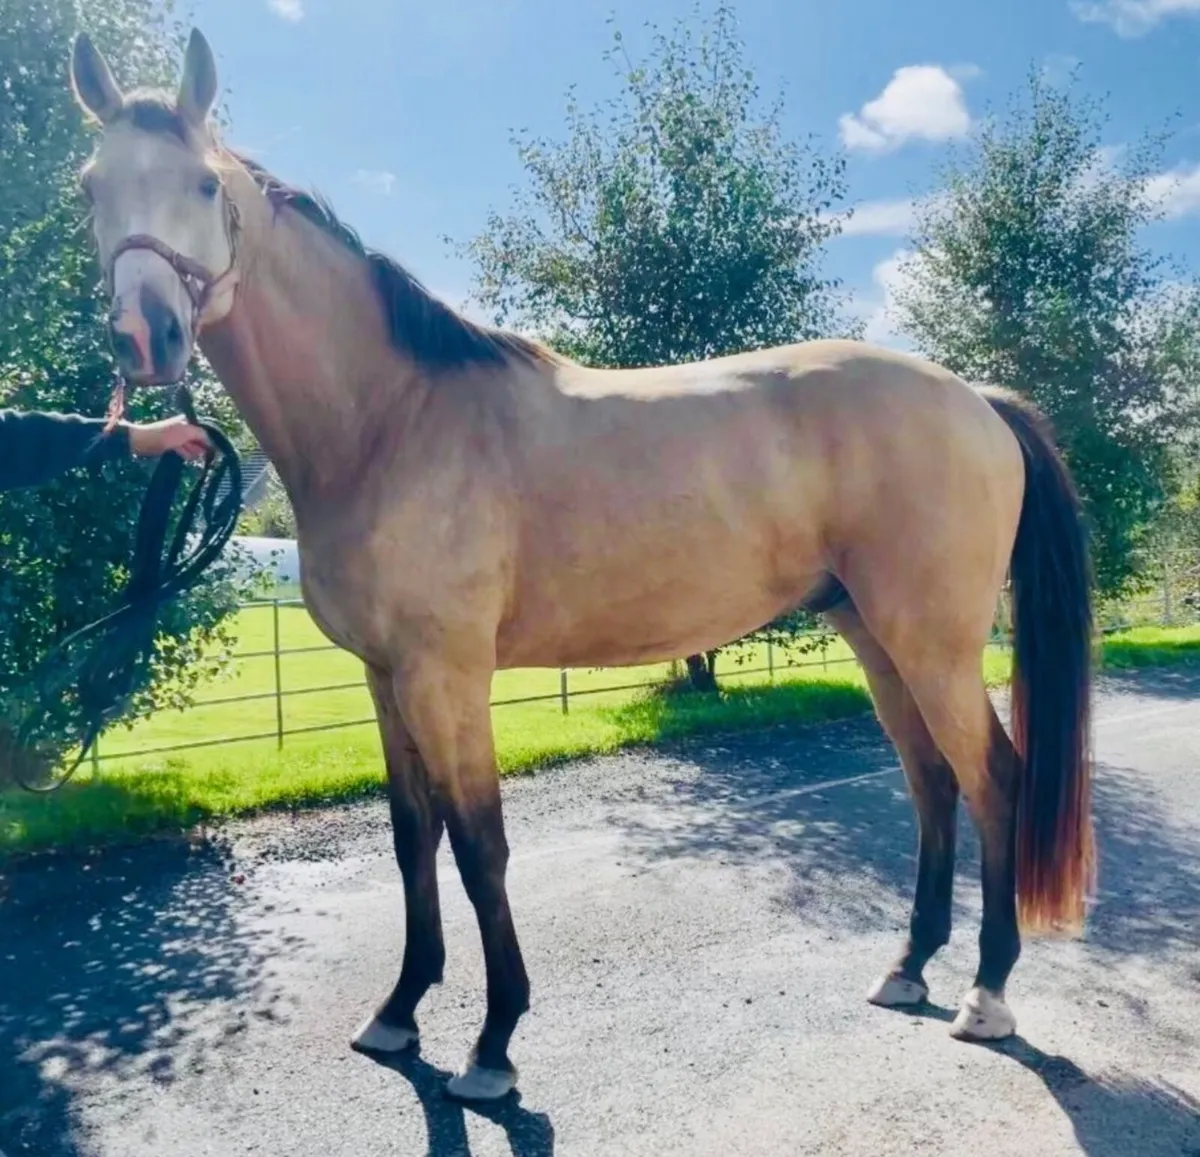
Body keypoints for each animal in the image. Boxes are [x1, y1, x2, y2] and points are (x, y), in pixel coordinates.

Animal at [67, 29, 1095, 1101]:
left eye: (200, 182)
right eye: (91, 187)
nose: (143, 335)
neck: (391, 421)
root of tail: (976, 399)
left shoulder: (447, 677)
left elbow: (479, 845)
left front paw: (493, 1043)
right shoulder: (386, 678)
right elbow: (411, 839)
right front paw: (399, 1011)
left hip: (931, 642)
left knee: (995, 781)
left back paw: (986, 992)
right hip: (874, 633)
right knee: (932, 782)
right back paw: (908, 966)